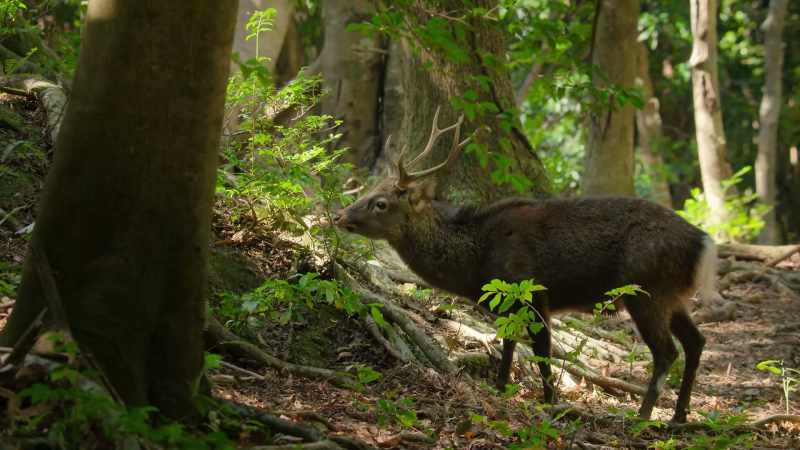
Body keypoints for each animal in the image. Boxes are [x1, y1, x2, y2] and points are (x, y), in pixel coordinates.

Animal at [334, 109, 717, 423]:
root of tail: (702, 243)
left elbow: (541, 350)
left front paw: (549, 403)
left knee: (667, 351)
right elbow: (508, 345)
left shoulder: (530, 291)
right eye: (368, 191)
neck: (475, 261)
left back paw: (643, 415)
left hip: (646, 289)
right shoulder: (508, 299)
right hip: (671, 295)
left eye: (380, 203)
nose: (340, 216)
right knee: (696, 341)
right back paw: (679, 415)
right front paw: (502, 388)